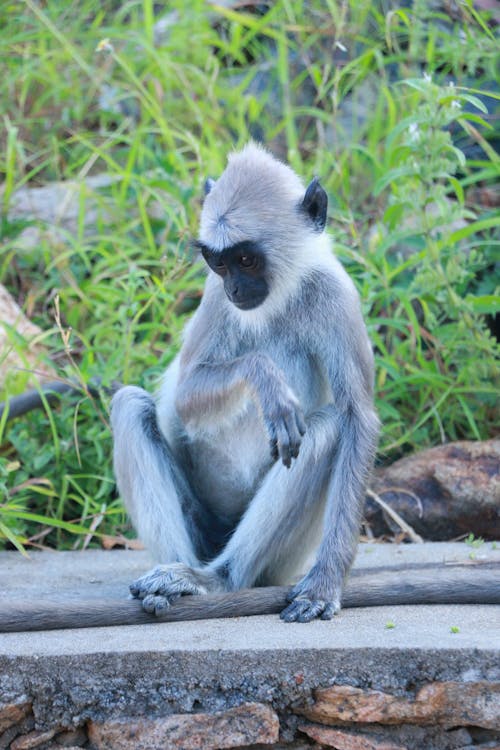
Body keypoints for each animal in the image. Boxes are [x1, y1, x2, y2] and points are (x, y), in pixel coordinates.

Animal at [110, 144, 378, 624]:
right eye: (219, 263)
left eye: (247, 260)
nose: (236, 288)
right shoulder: (215, 298)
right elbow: (184, 398)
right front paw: (264, 377)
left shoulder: (334, 293)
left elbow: (356, 418)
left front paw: (326, 582)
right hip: (201, 524)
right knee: (131, 404)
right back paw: (181, 579)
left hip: (282, 559)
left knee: (327, 427)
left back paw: (219, 579)